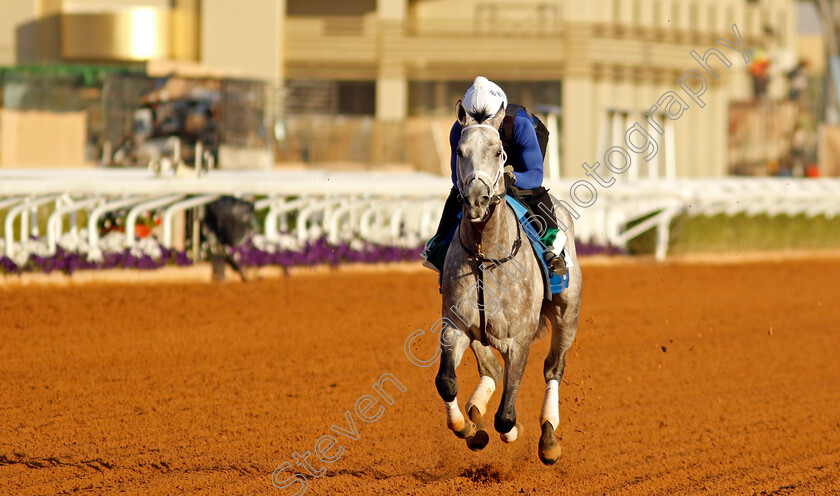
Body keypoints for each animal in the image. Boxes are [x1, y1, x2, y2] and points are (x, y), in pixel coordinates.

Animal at [434, 101, 584, 464]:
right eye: (460, 151)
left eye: (499, 152)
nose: (476, 199)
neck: (485, 253)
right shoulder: (455, 325)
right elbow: (446, 382)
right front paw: (467, 429)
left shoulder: (519, 340)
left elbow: (506, 415)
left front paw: (513, 430)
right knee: (491, 369)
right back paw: (475, 410)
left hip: (567, 314)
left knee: (553, 368)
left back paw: (548, 437)